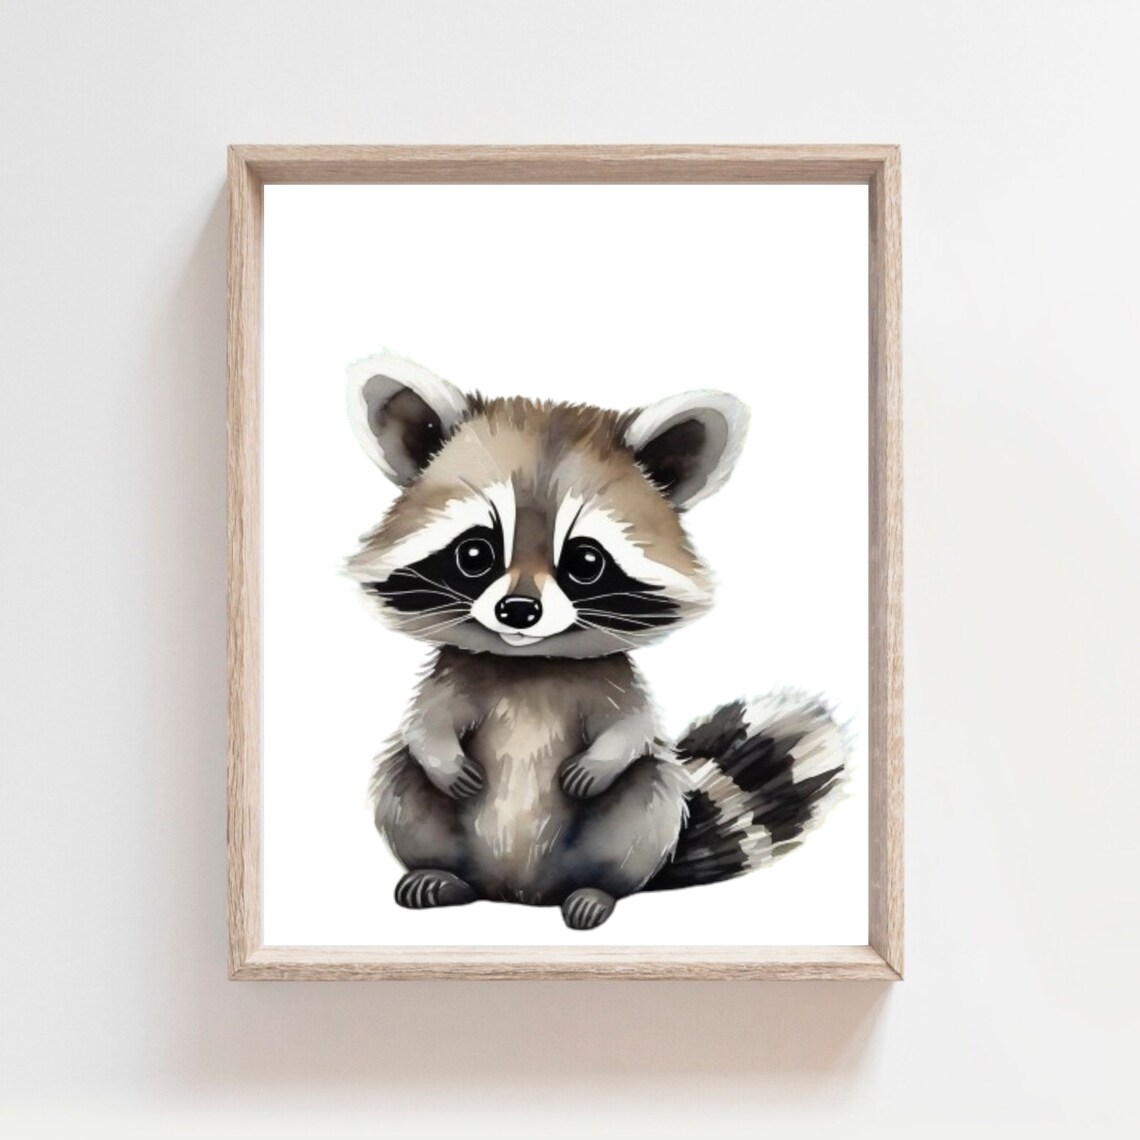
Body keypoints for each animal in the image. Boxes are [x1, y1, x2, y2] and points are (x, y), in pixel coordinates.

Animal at [346, 351, 849, 930]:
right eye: (475, 554)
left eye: (585, 561)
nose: (519, 611)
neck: (530, 662)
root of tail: (517, 893)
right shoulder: (455, 672)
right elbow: (425, 722)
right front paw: (443, 759)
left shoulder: (612, 678)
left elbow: (634, 726)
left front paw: (601, 762)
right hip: (425, 818)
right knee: (400, 773)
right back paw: (442, 875)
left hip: (636, 828)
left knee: (648, 787)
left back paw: (597, 891)